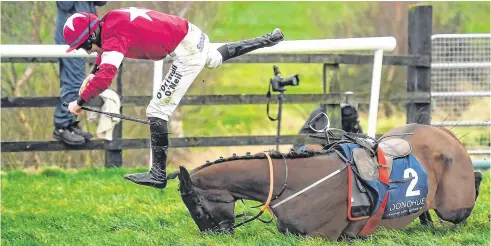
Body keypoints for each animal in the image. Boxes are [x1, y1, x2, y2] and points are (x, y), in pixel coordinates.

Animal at [169, 124, 484, 239]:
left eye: (196, 206)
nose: (213, 235)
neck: (294, 184)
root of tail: (444, 133)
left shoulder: (318, 237)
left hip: (454, 207)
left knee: (474, 185)